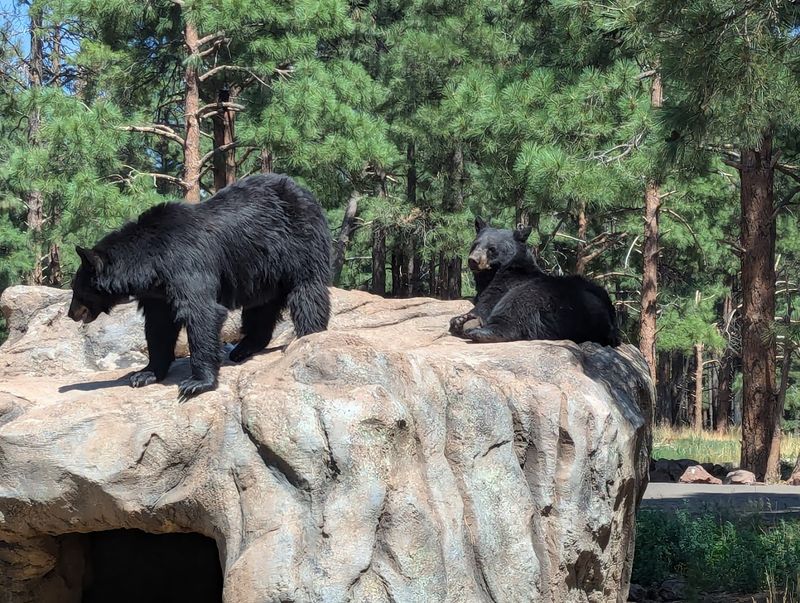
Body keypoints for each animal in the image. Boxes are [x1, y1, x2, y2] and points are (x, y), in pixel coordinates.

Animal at [68, 173, 332, 400]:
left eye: (76, 291)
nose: (71, 314)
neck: (150, 262)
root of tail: (305, 192)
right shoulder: (158, 292)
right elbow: (158, 326)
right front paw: (144, 373)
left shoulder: (185, 262)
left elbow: (202, 312)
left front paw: (196, 383)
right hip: (263, 272)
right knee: (261, 309)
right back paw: (243, 349)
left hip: (299, 243)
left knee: (307, 292)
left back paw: (308, 336)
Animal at [449, 217, 620, 346]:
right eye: (475, 244)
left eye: (491, 248)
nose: (473, 260)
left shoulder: (508, 281)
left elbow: (488, 301)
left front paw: (464, 317)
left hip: (554, 297)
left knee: (517, 306)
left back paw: (477, 330)